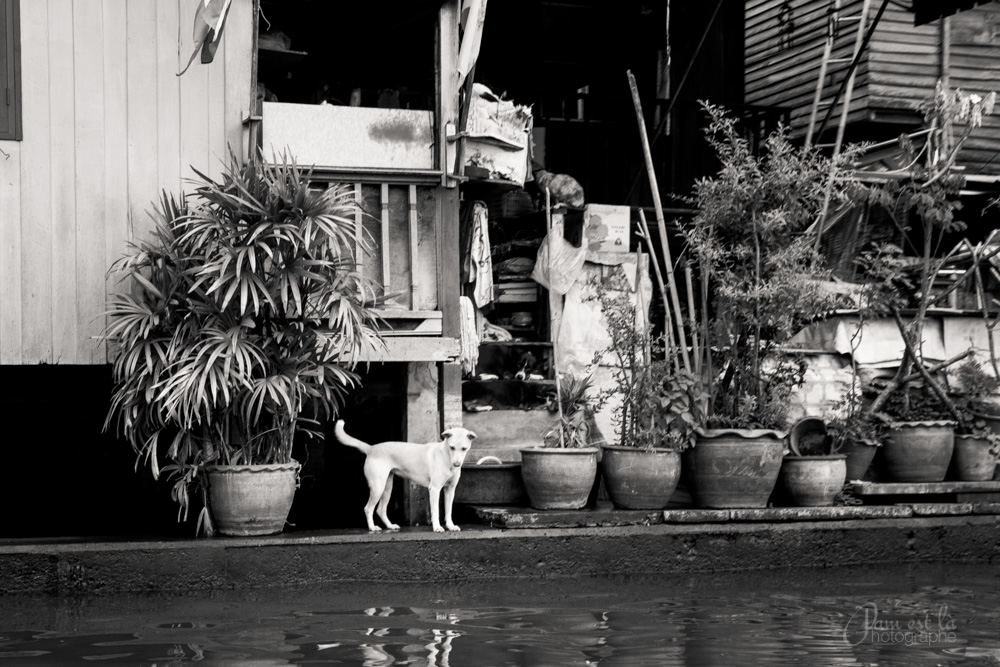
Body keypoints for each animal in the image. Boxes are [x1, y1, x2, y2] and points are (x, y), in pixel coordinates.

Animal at [334, 422, 478, 532]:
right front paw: (437, 527)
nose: (457, 464)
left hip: (387, 488)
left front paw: (450, 526)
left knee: (380, 510)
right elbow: (436, 512)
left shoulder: (450, 490)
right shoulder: (435, 489)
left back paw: (390, 526)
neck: (446, 457)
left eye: (464, 448)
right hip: (377, 487)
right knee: (368, 508)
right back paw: (372, 528)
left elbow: (448, 511)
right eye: (452, 447)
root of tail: (371, 448)